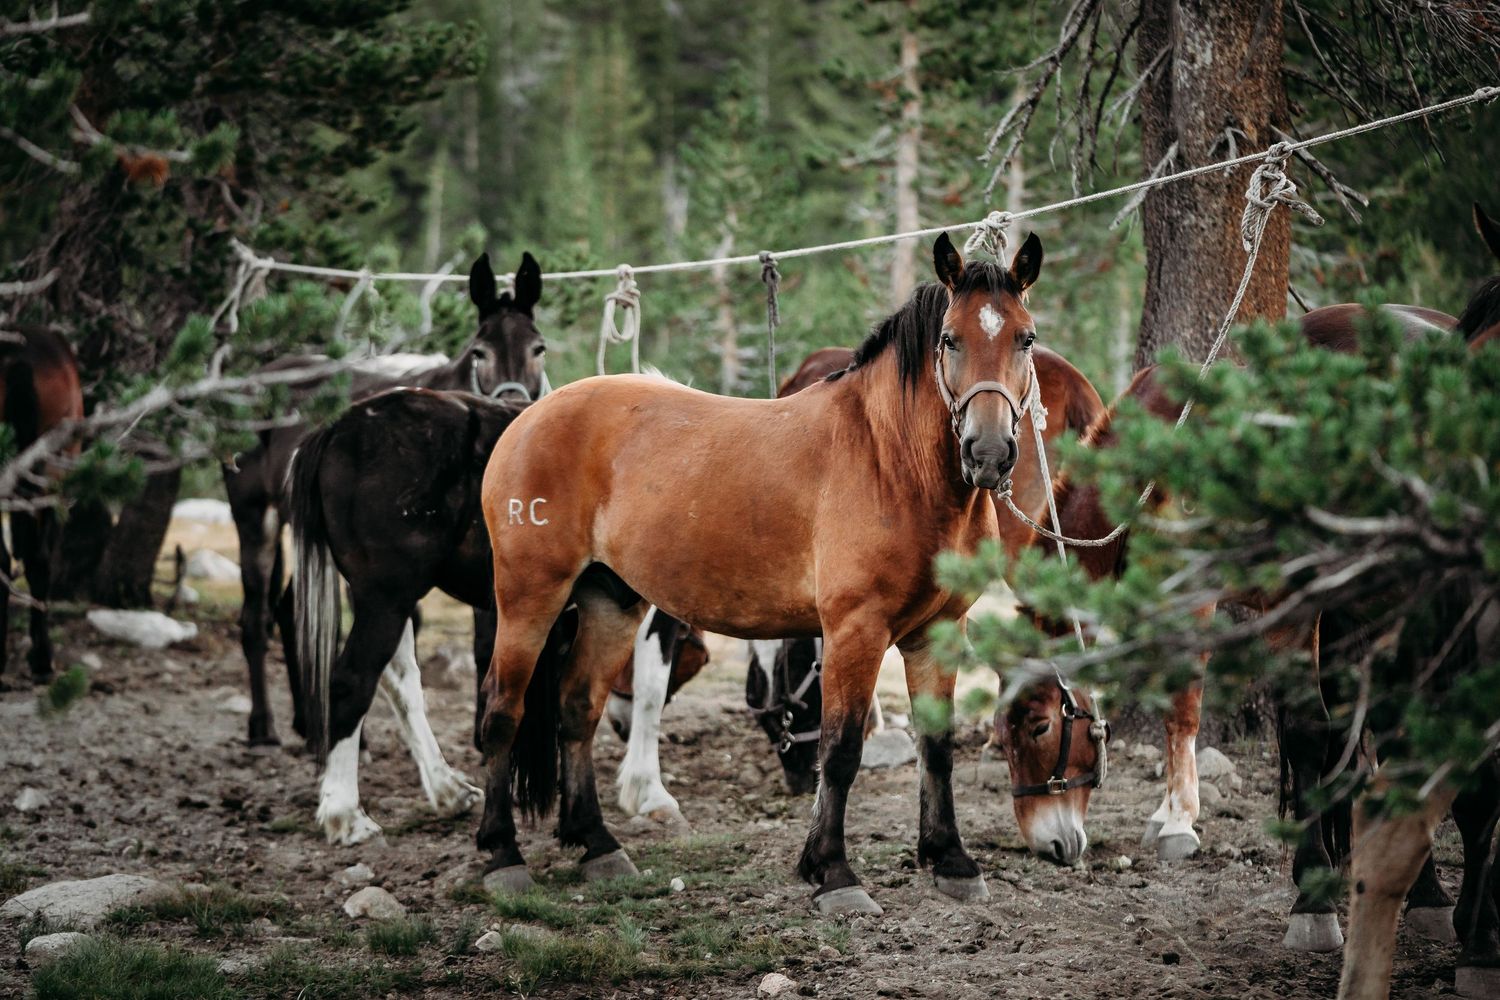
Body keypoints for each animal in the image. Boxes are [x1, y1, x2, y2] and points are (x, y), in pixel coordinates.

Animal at [224, 252, 546, 746]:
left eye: (538, 348)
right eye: (480, 352)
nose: (514, 401)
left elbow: (483, 644)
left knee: (295, 614)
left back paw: (308, 722)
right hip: (254, 516)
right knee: (257, 619)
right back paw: (266, 725)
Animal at [474, 231, 1110, 914]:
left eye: (1025, 337)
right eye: (950, 339)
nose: (988, 453)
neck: (892, 463)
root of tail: (528, 418)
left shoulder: (937, 632)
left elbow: (935, 748)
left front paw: (951, 860)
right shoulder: (855, 632)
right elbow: (841, 750)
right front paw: (833, 872)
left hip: (610, 602)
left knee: (576, 710)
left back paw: (597, 844)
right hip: (528, 598)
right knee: (502, 711)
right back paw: (503, 855)